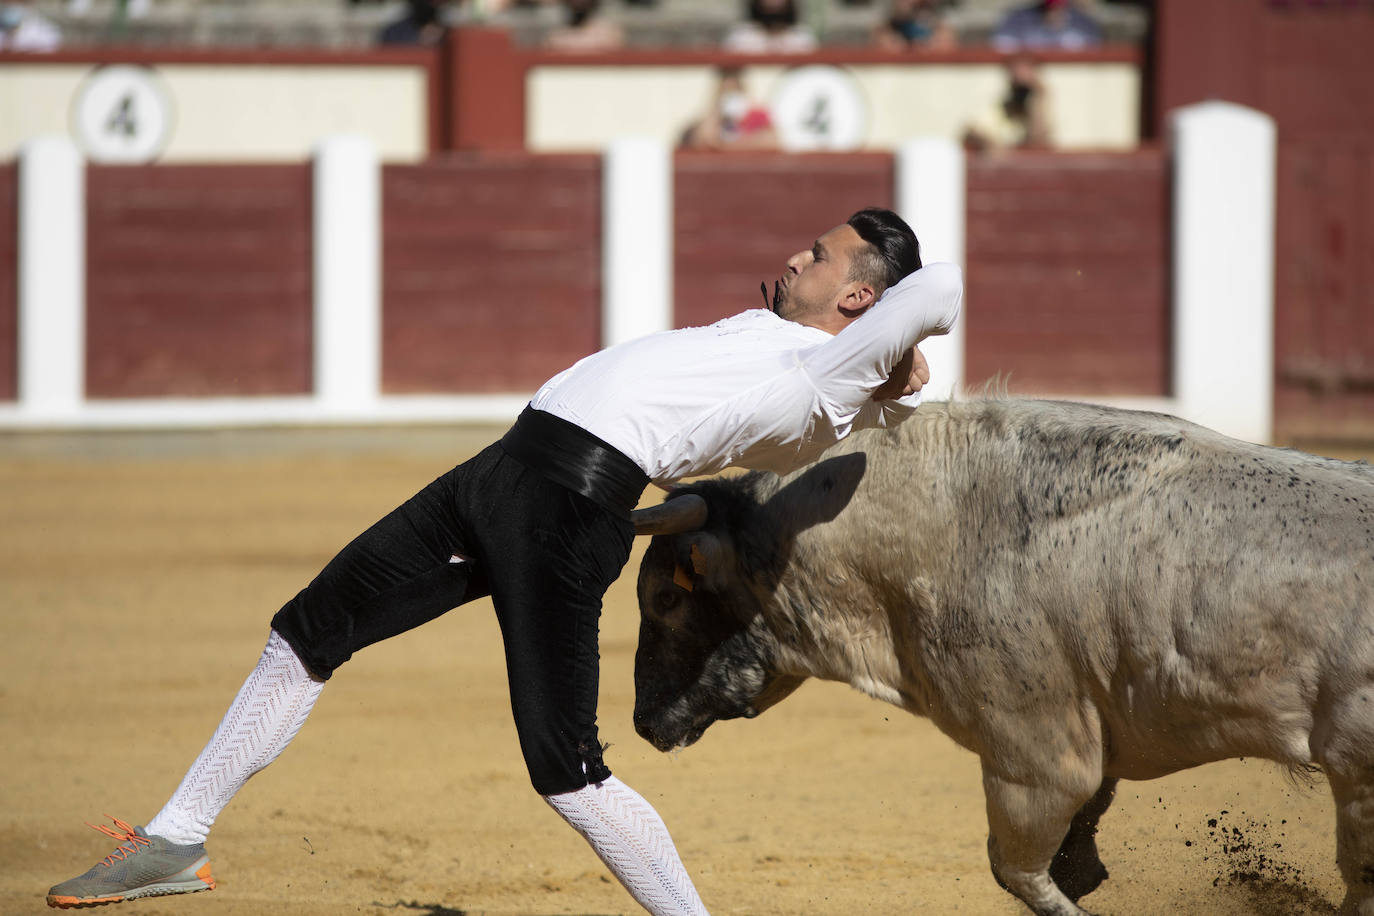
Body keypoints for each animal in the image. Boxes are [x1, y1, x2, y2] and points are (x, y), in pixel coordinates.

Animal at [629, 398, 1374, 916]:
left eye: (664, 597)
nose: (640, 723)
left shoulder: (1035, 753)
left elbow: (1016, 868)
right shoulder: (1086, 740)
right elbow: (1066, 854)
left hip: (1355, 769)